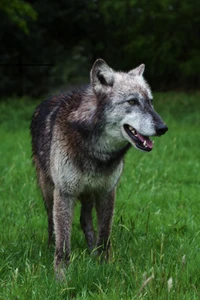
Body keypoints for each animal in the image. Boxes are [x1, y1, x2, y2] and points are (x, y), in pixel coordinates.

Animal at [30, 58, 167, 276]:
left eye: (151, 102)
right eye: (132, 102)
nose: (163, 128)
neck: (96, 152)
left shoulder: (106, 191)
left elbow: (104, 233)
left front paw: (103, 264)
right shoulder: (65, 193)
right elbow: (63, 242)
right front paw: (61, 275)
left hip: (88, 193)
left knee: (84, 220)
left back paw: (91, 250)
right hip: (48, 190)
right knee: (52, 223)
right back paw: (51, 247)